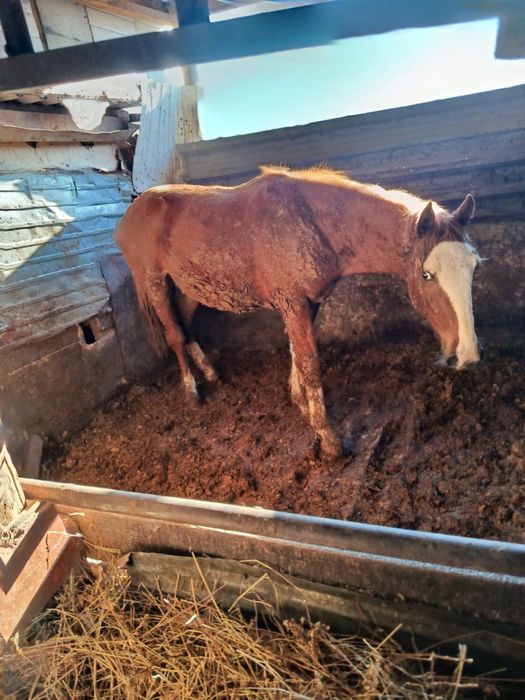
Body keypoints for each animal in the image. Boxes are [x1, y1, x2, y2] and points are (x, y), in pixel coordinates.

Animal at [115, 166, 479, 458]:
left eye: (474, 267)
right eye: (427, 275)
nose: (467, 353)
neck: (311, 222)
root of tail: (132, 212)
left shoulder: (308, 302)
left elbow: (296, 353)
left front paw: (299, 400)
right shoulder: (293, 302)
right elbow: (310, 362)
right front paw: (329, 441)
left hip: (193, 287)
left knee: (187, 327)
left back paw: (211, 374)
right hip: (155, 282)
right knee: (175, 334)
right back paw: (192, 391)